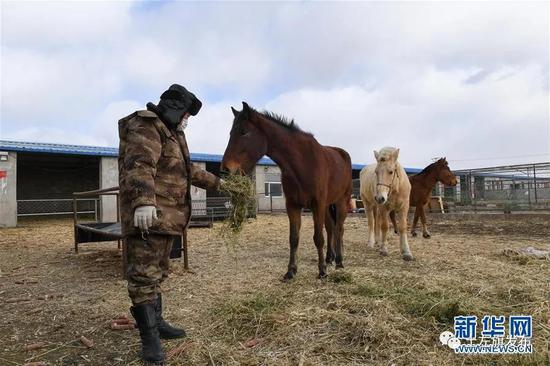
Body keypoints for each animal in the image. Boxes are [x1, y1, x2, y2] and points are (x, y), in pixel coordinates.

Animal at [221, 101, 354, 278]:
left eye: (243, 132)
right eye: (231, 133)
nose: (225, 169)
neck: (302, 162)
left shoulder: (317, 204)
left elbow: (318, 238)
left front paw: (322, 271)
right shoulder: (292, 205)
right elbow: (294, 238)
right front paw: (291, 271)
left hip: (341, 202)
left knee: (339, 228)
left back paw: (339, 261)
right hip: (327, 205)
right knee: (331, 228)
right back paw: (329, 258)